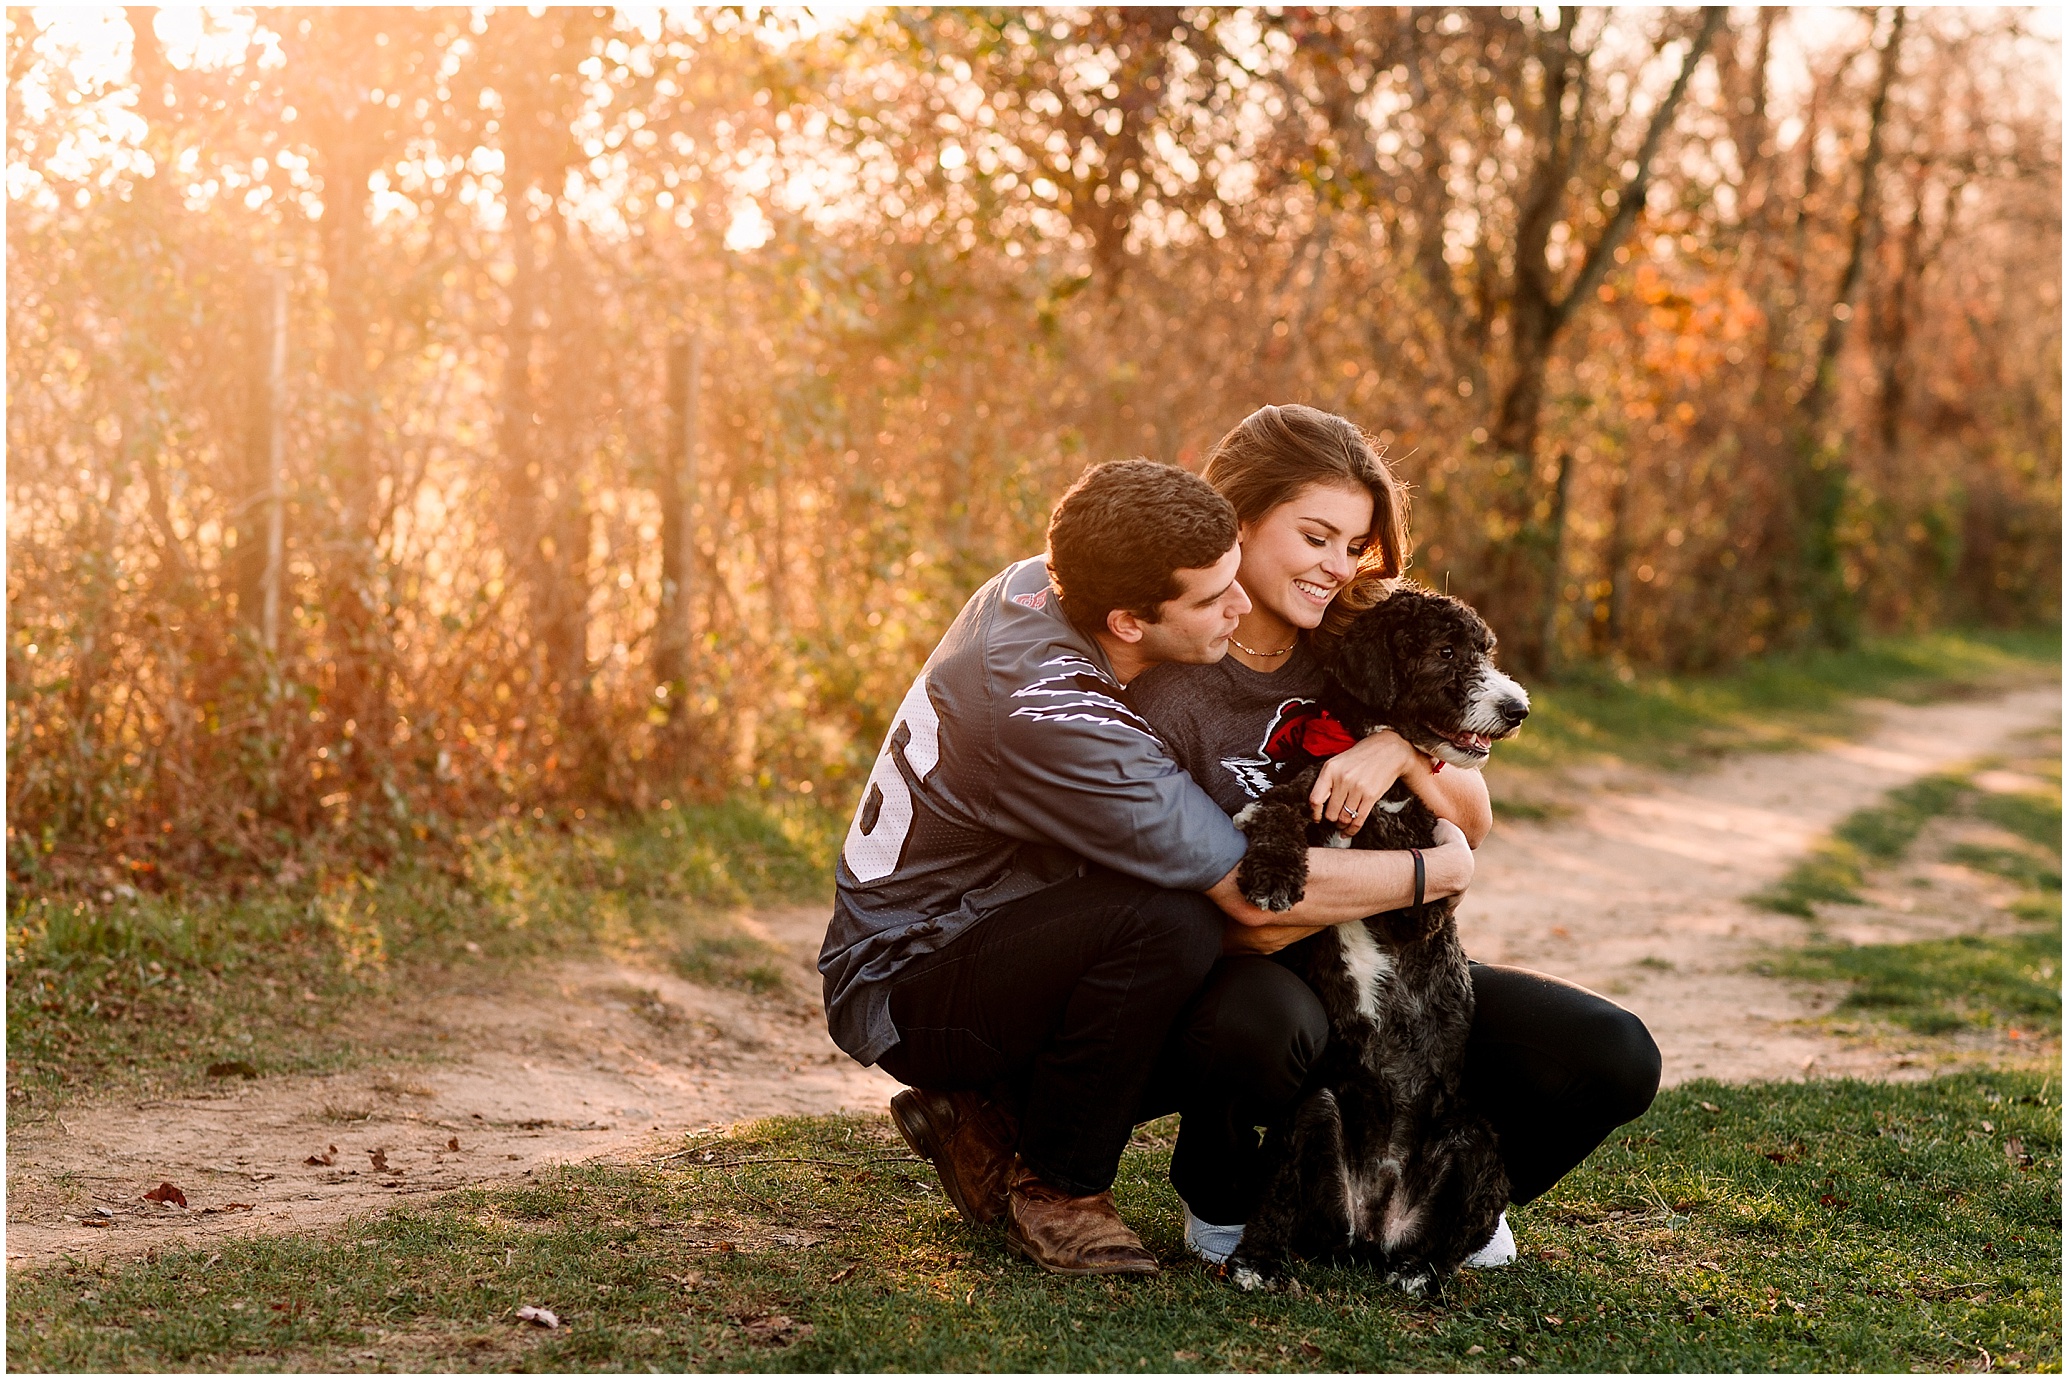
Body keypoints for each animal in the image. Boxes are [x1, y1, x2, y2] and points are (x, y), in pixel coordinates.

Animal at [1215, 587, 1530, 1299]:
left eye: (1486, 650)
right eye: (1446, 651)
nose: (1516, 708)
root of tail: (1376, 1227)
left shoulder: (1426, 902)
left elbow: (1388, 832)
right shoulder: (1306, 789)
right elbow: (1281, 806)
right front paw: (1273, 872)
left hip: (1476, 1141)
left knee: (1451, 1242)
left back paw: (1419, 1273)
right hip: (1313, 1112)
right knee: (1280, 1197)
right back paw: (1256, 1259)